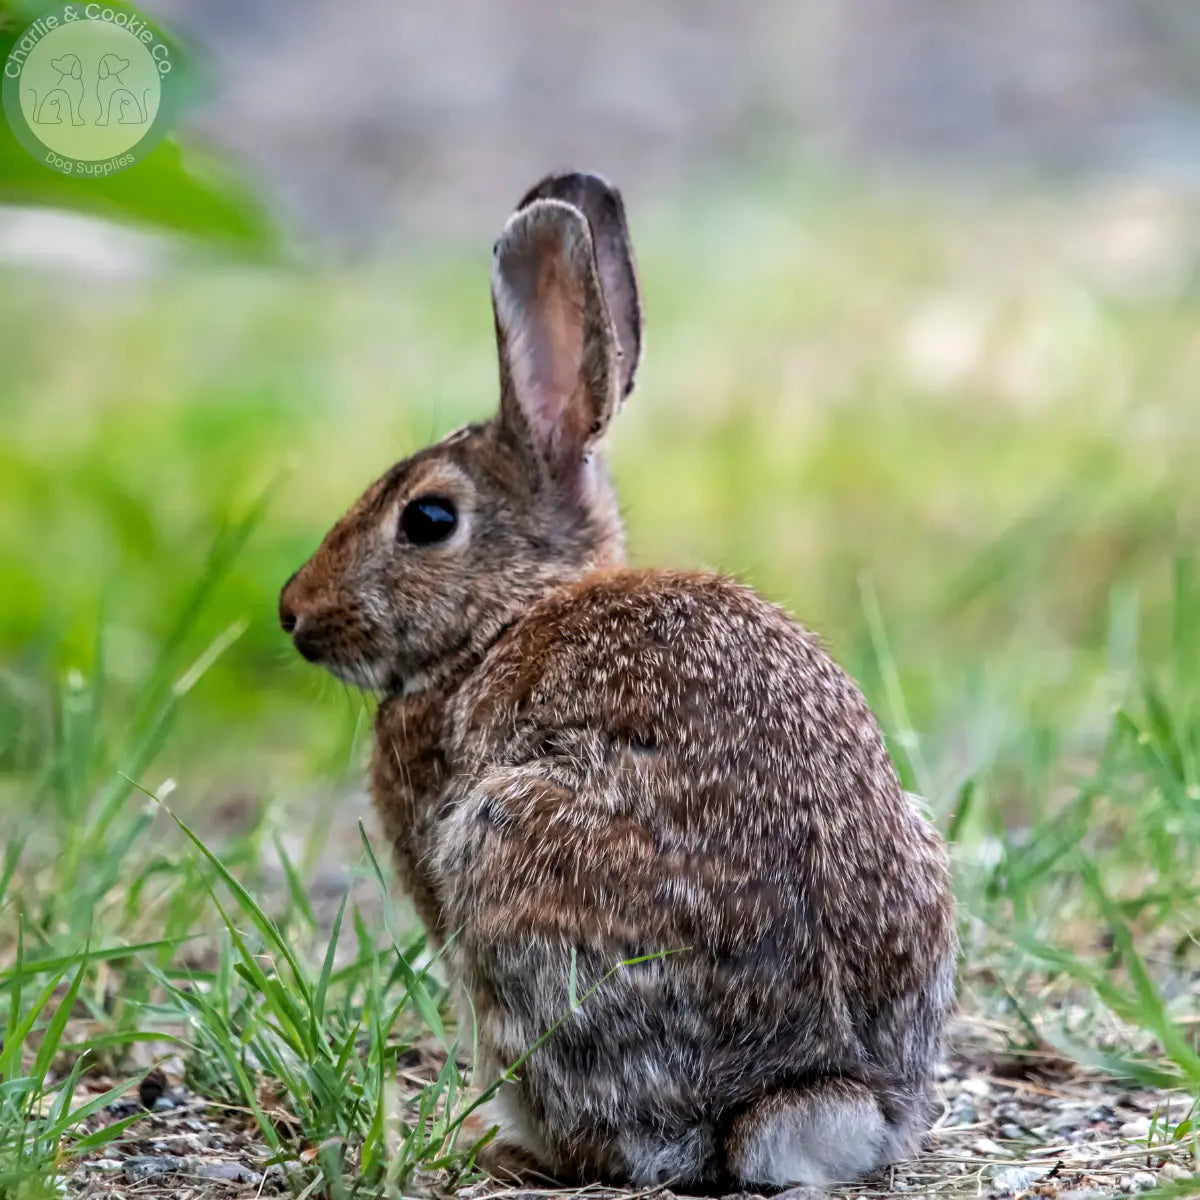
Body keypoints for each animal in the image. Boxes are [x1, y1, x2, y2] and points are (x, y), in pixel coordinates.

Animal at [279, 171, 956, 1192]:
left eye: (428, 519)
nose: (294, 613)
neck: (505, 617)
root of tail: (802, 1090)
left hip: (511, 865)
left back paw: (508, 1147)